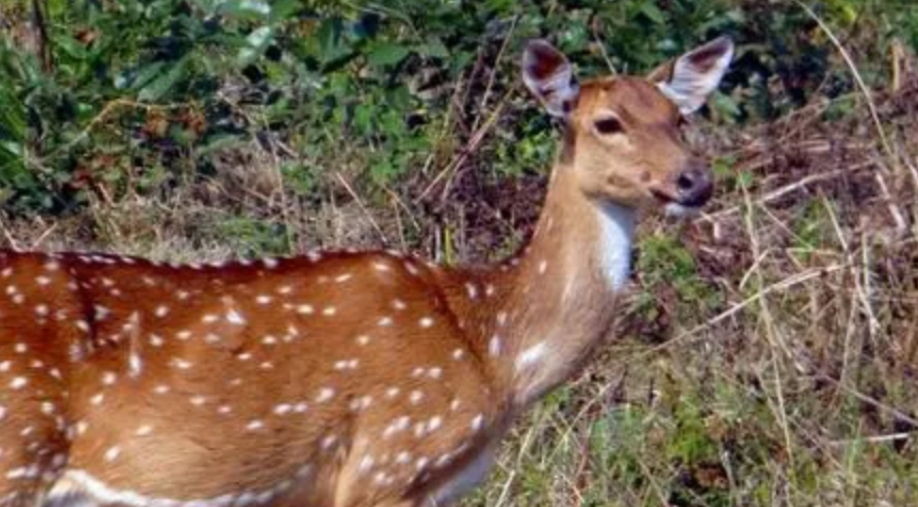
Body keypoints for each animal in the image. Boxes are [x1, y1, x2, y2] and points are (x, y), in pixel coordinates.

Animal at [0, 36, 732, 507]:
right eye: (606, 122)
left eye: (680, 117)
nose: (694, 180)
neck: (494, 349)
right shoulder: (389, 459)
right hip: (18, 455)